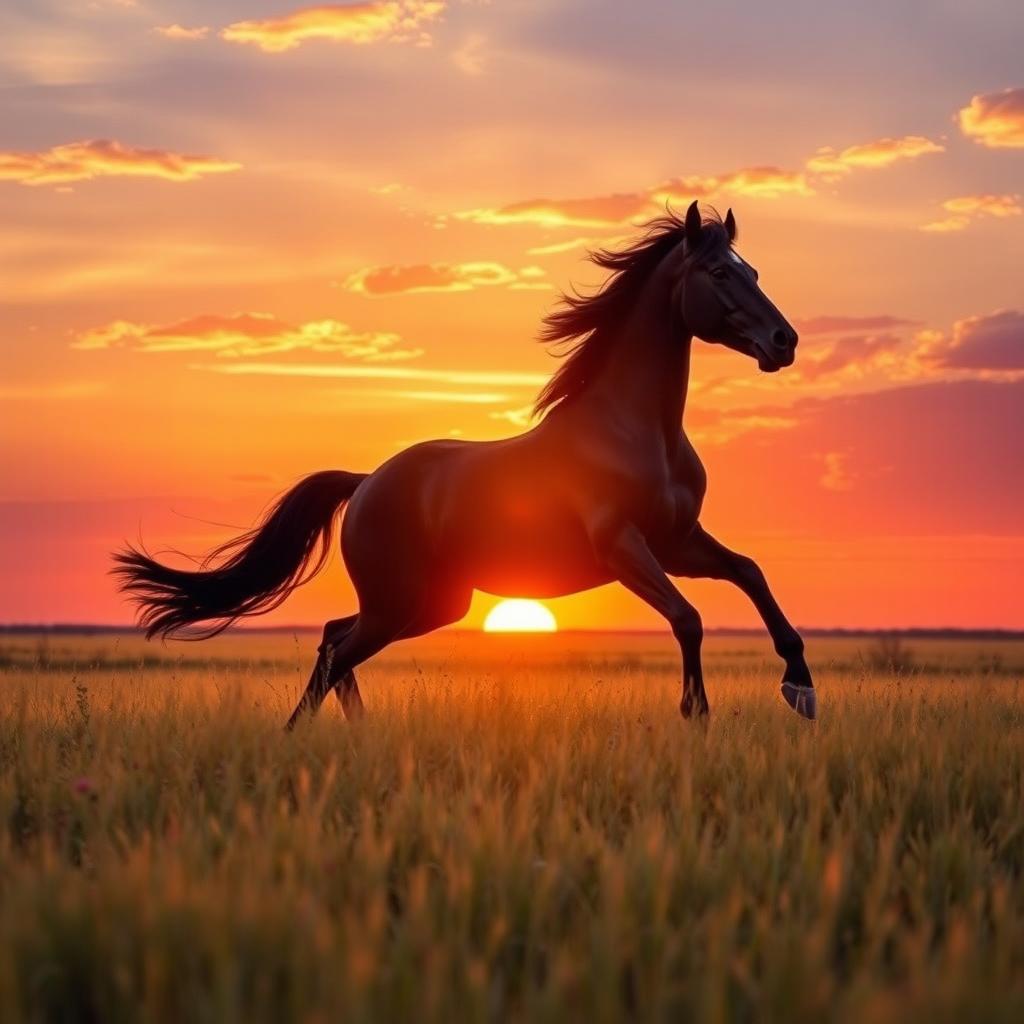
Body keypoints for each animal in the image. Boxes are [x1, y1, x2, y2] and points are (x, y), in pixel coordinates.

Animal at [114, 199, 815, 724]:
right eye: (720, 273)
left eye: (753, 271)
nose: (784, 342)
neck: (638, 432)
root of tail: (366, 483)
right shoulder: (623, 546)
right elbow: (688, 619)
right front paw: (697, 713)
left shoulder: (677, 541)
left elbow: (749, 573)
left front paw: (800, 687)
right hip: (400, 603)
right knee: (337, 650)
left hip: (429, 604)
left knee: (335, 639)